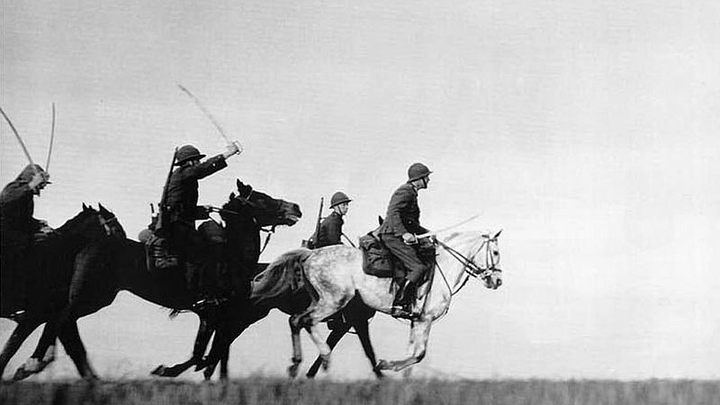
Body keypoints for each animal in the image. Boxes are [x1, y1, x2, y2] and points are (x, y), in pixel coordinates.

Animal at [0, 204, 126, 380]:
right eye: (117, 228)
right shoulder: (37, 314)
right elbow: (11, 347)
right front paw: (29, 366)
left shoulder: (59, 315)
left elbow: (76, 349)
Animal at [258, 229, 500, 374]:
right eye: (496, 252)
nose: (497, 280)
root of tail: (310, 255)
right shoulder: (425, 319)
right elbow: (418, 354)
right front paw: (387, 365)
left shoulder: (415, 320)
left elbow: (411, 353)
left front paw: (391, 368)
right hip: (334, 301)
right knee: (304, 320)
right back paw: (321, 358)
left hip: (323, 302)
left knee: (296, 320)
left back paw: (296, 363)